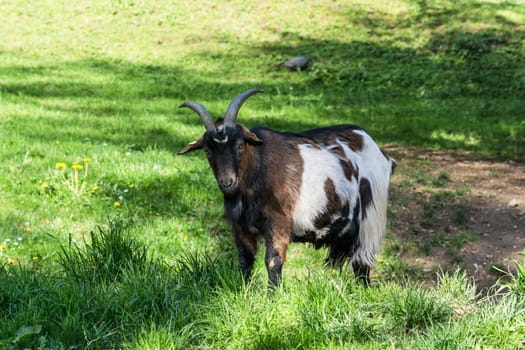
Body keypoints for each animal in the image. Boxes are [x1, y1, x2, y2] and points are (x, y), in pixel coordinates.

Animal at [178, 89, 396, 286]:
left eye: (240, 145)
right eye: (207, 150)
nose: (227, 182)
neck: (258, 169)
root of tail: (380, 153)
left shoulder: (279, 220)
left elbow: (273, 260)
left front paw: (272, 295)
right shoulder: (241, 226)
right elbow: (245, 260)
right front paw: (244, 290)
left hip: (371, 218)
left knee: (362, 261)